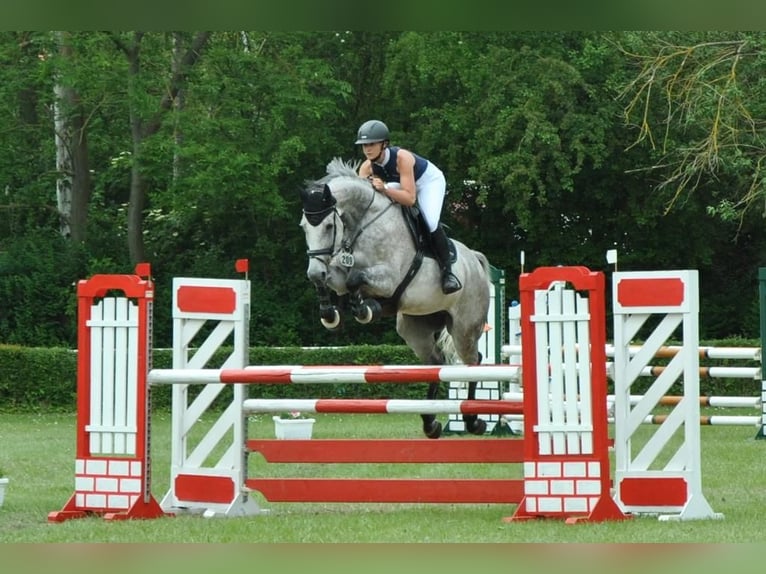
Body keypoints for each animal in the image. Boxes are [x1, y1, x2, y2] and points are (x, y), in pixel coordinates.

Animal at [300, 158, 492, 440]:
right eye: (304, 227)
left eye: (328, 226)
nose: (314, 270)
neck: (364, 224)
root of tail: (475, 260)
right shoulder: (337, 271)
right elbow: (337, 279)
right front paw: (331, 314)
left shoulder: (389, 277)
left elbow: (355, 279)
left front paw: (365, 308)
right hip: (415, 327)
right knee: (435, 363)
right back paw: (430, 423)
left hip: (464, 328)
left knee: (473, 361)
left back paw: (472, 421)